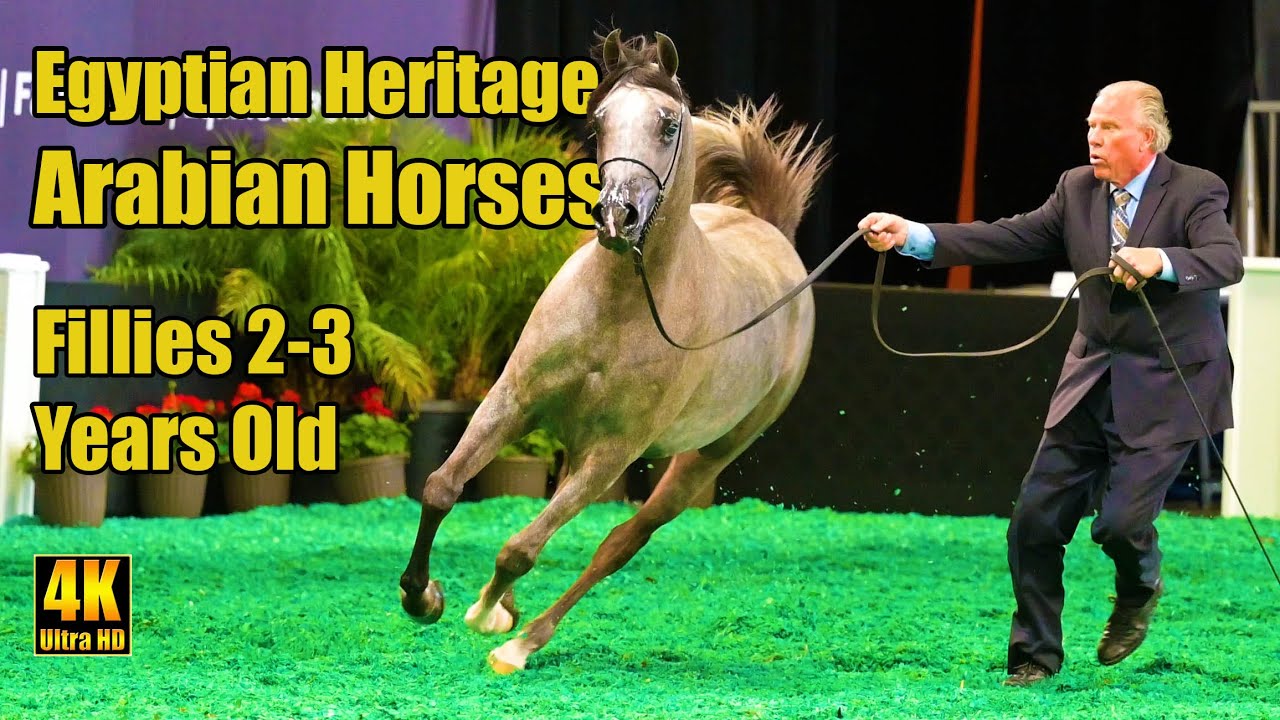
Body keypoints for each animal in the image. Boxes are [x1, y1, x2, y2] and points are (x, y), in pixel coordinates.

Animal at [398, 28, 832, 674]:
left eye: (669, 124)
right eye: (599, 120)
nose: (616, 216)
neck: (617, 311)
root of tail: (774, 236)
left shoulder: (612, 454)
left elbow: (521, 548)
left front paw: (485, 616)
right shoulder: (512, 402)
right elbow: (441, 487)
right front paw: (424, 598)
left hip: (702, 457)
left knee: (619, 545)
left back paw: (522, 642)